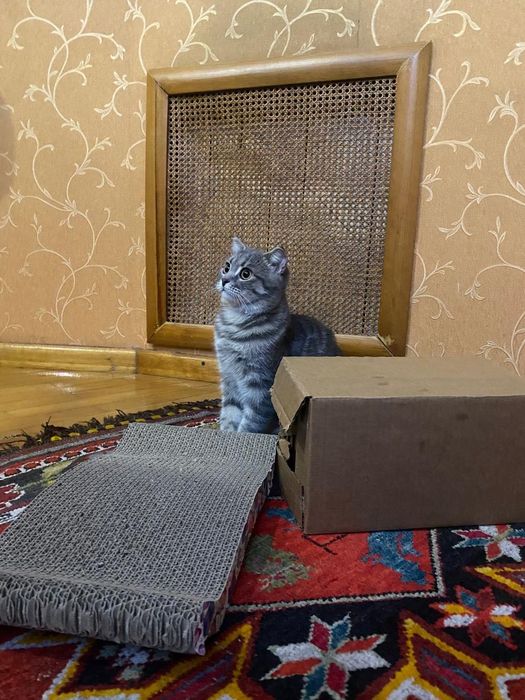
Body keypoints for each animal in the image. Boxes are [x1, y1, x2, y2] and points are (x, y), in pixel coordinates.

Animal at [214, 237, 340, 434]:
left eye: (245, 274)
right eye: (226, 267)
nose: (224, 279)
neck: (234, 325)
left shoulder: (261, 386)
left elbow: (251, 424)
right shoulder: (229, 378)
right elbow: (229, 414)